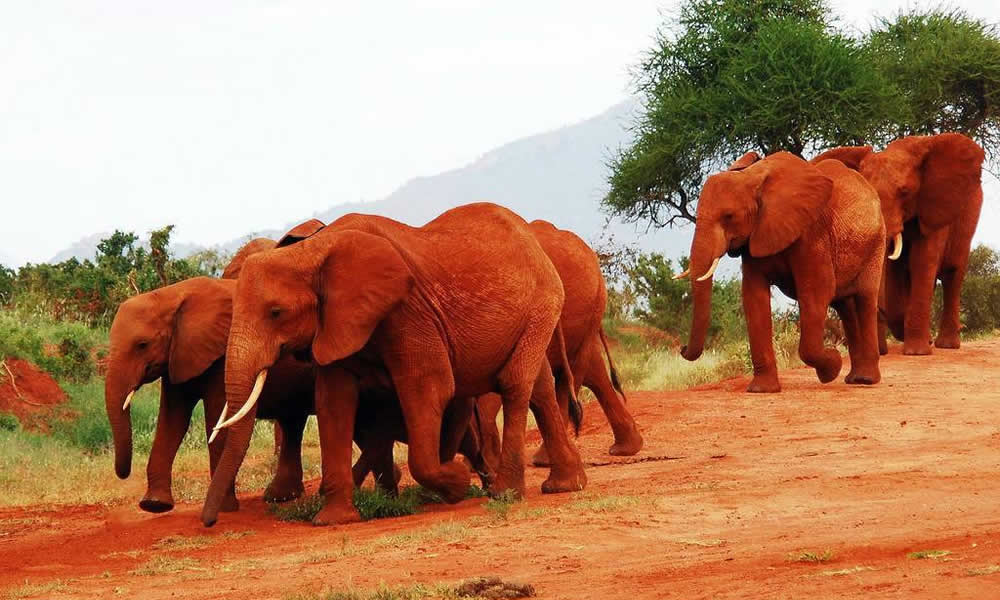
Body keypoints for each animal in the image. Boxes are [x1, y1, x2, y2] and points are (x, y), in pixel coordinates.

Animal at [202, 202, 588, 527]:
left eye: (276, 312)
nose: (209, 521)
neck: (313, 251)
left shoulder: (408, 311)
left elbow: (429, 385)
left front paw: (454, 483)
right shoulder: (337, 323)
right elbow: (333, 402)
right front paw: (335, 520)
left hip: (542, 304)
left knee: (515, 383)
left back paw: (505, 493)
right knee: (539, 389)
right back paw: (566, 485)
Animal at [679, 151, 886, 393]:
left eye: (728, 216)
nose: (682, 348)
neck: (752, 178)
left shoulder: (811, 233)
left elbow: (816, 291)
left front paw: (831, 367)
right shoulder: (755, 238)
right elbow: (753, 297)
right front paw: (761, 390)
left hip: (875, 242)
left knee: (864, 298)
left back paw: (865, 380)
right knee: (845, 306)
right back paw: (853, 378)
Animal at [811, 133, 985, 355]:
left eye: (905, 192)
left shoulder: (933, 208)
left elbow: (922, 262)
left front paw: (917, 352)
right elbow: (895, 268)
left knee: (952, 275)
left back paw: (946, 345)